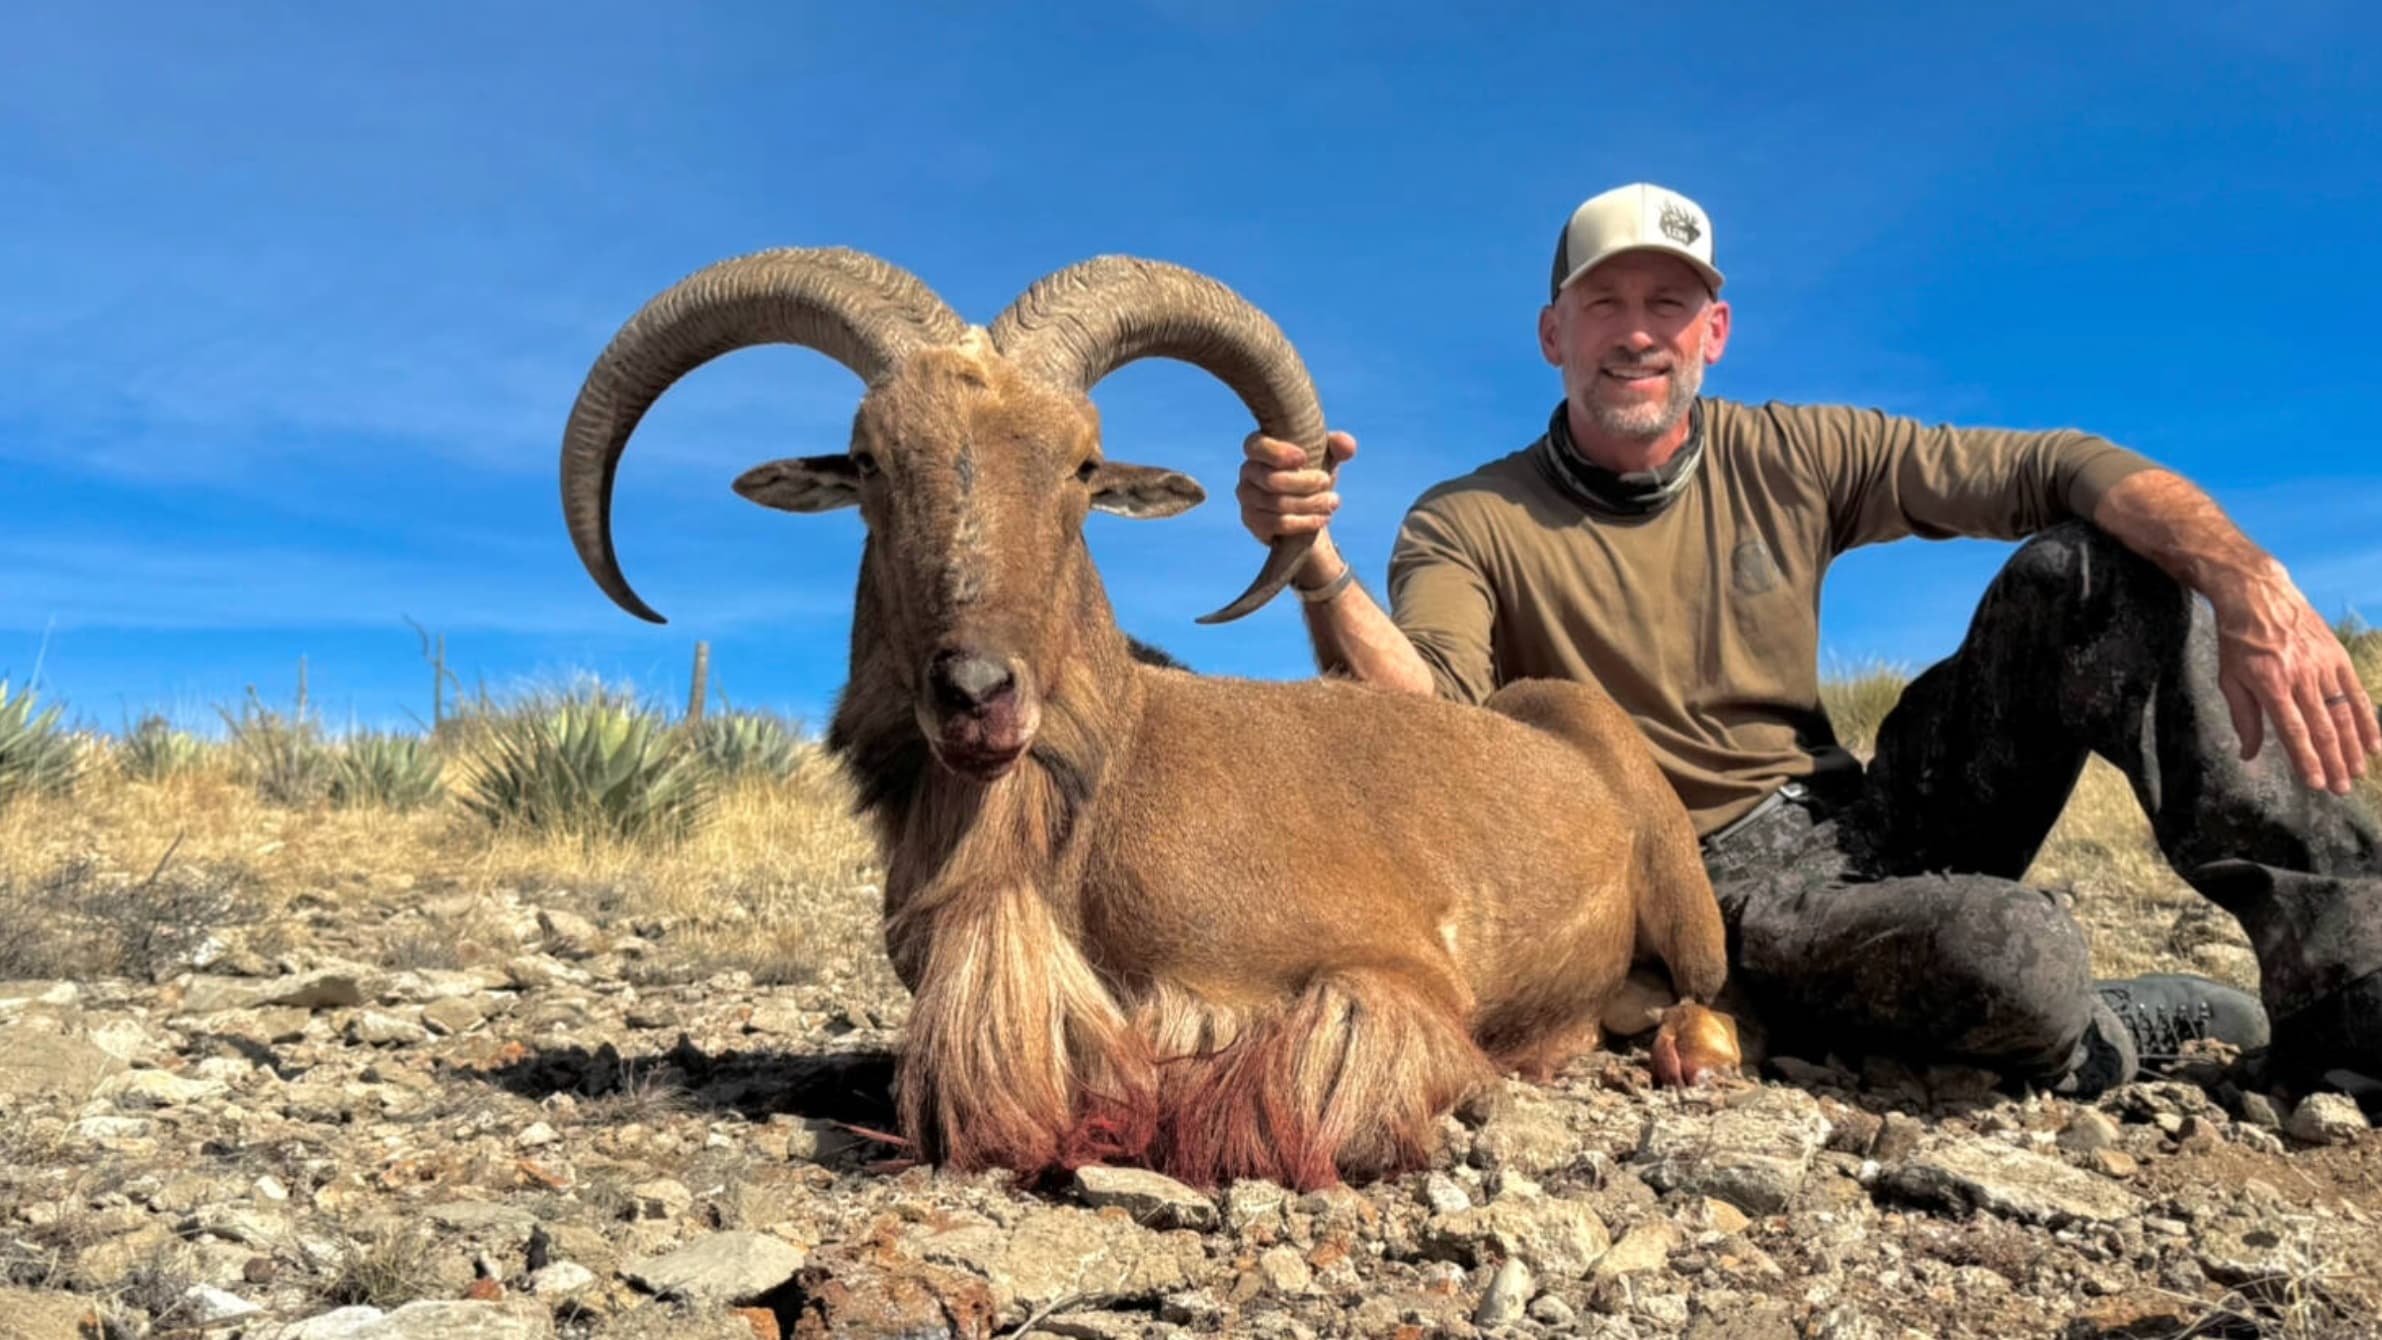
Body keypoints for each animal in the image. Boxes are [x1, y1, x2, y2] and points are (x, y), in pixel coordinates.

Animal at [556, 246, 1740, 1190]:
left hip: (1688, 909)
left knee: (1700, 998)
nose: (977, 693)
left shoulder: (1388, 977)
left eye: (1083, 464)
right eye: (869, 461)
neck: (1099, 800)